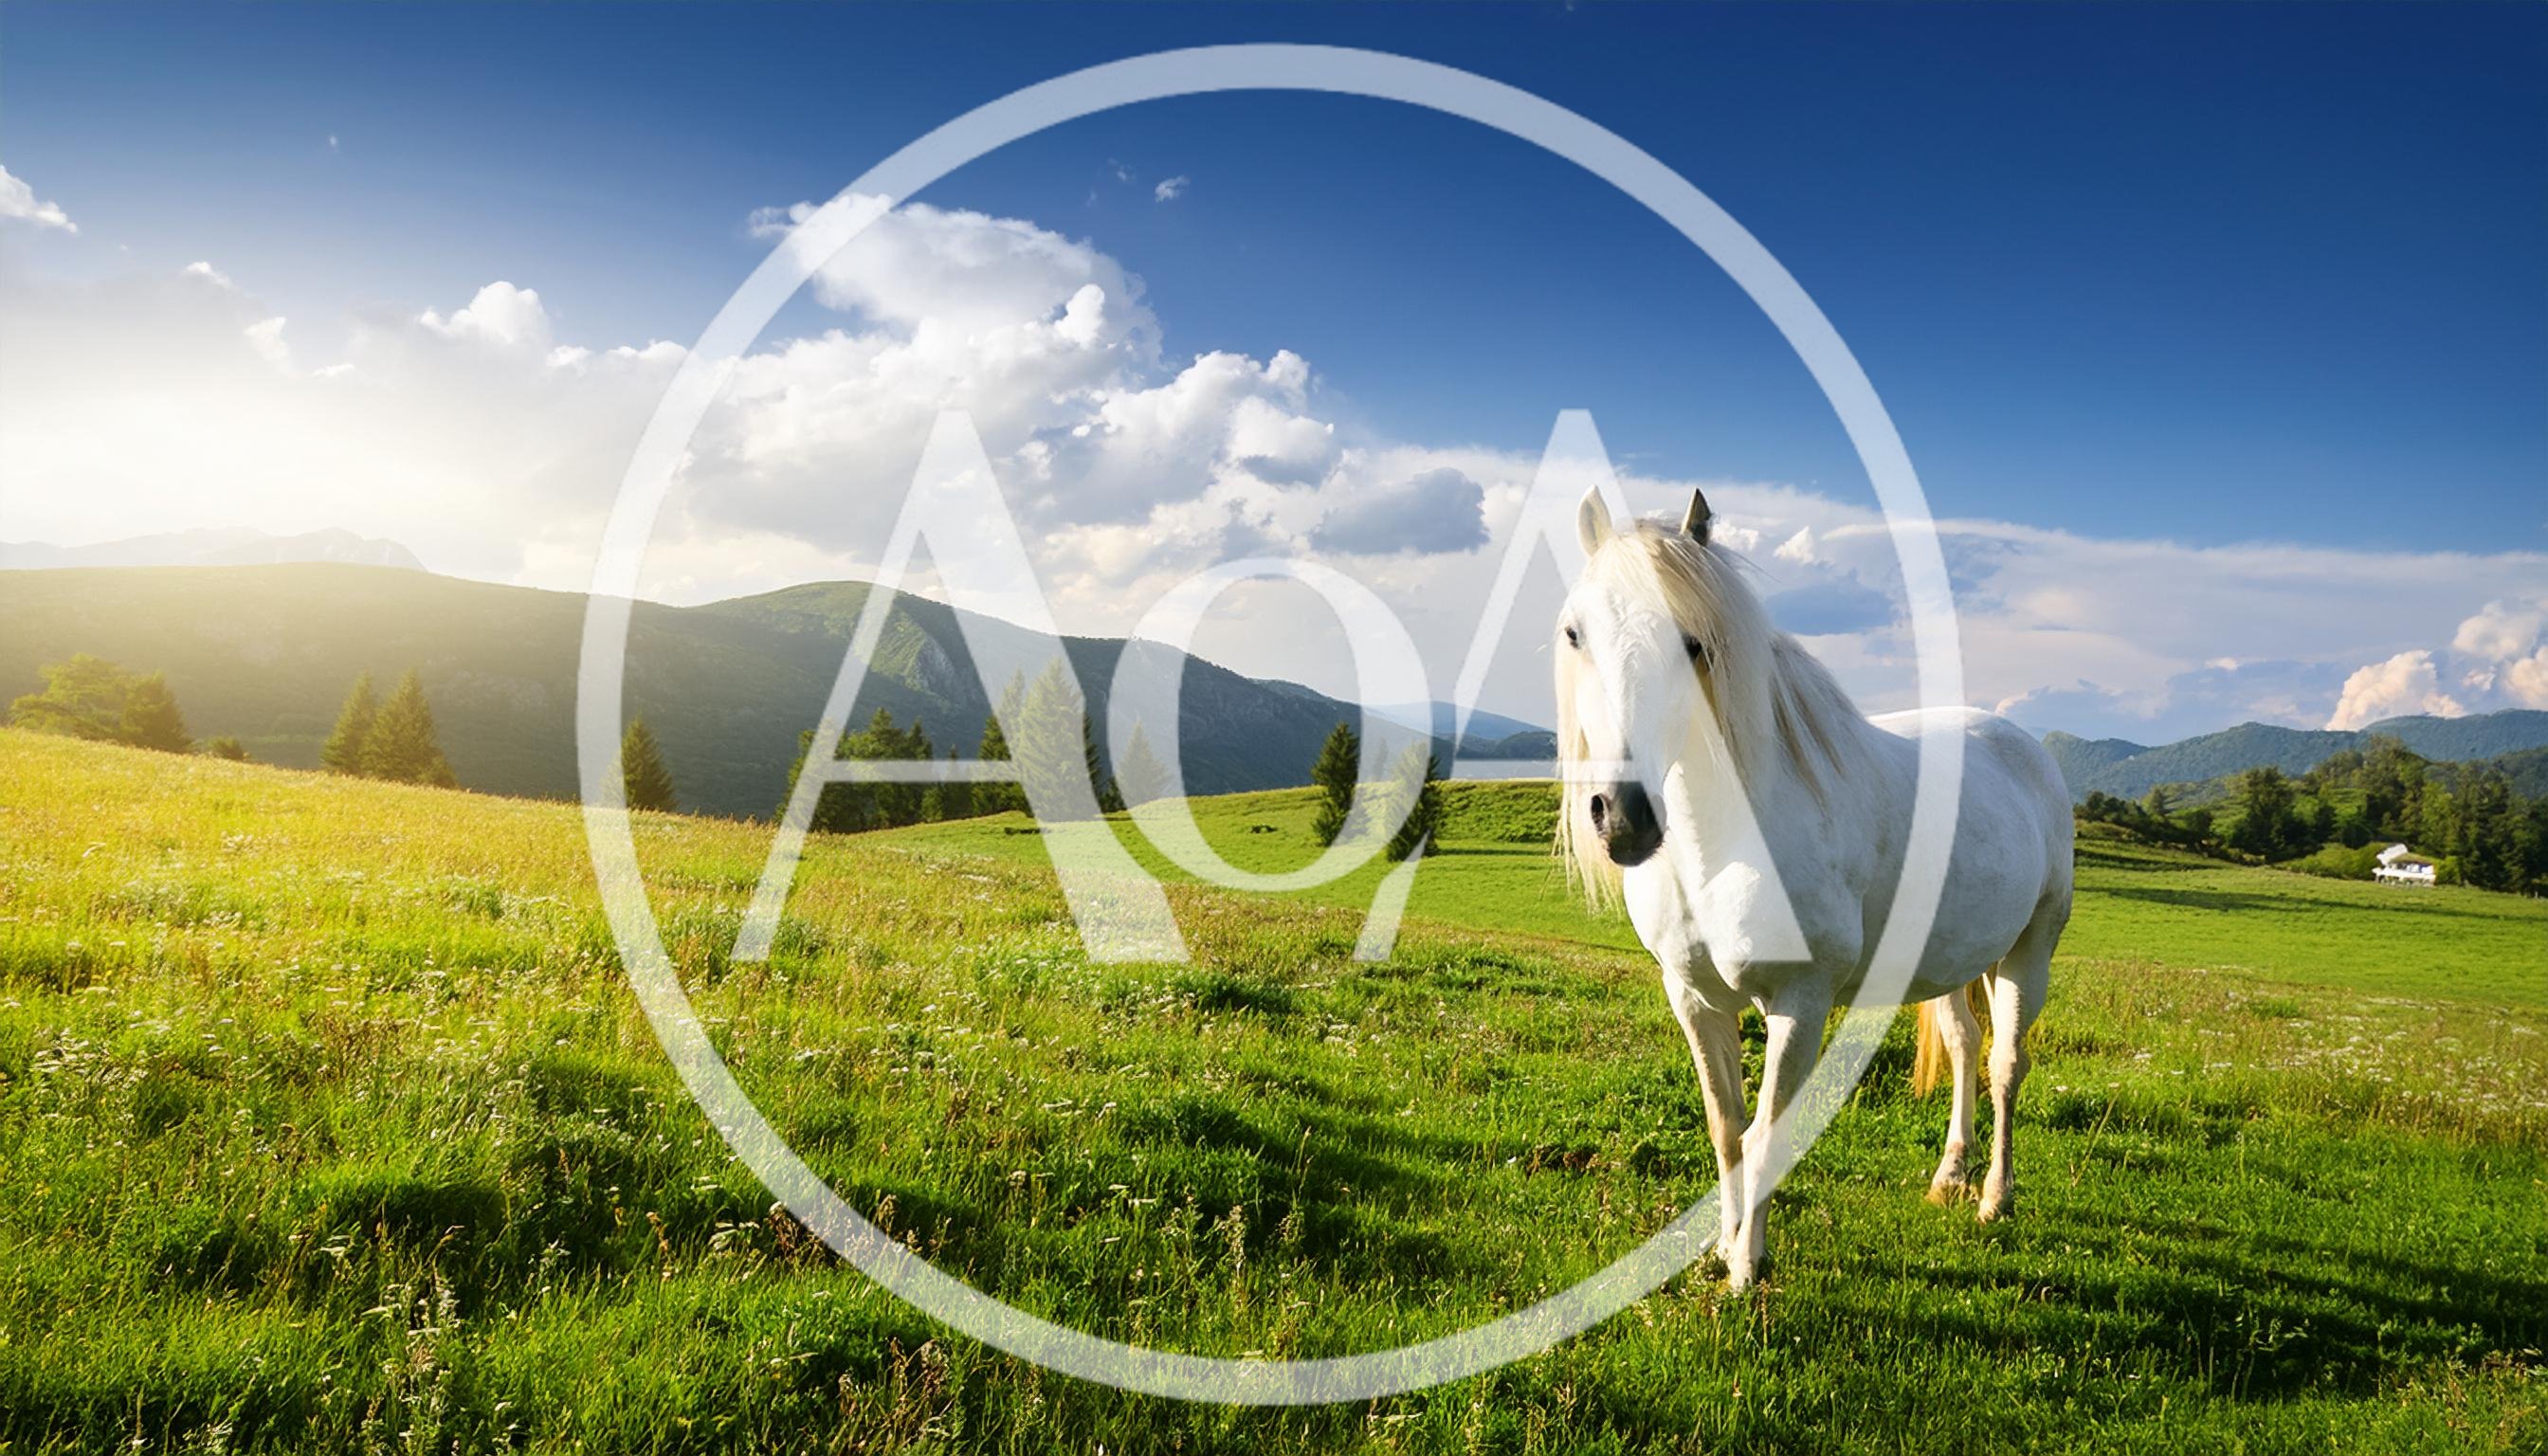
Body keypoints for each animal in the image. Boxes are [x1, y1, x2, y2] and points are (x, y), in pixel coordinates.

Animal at [1555, 487, 2074, 1290]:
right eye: (1575, 632)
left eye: (1696, 642)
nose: (1623, 815)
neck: (1724, 844)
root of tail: (2025, 748)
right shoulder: (1694, 999)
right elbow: (1727, 1129)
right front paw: (1721, 1244)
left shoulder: (1798, 1005)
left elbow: (1769, 1133)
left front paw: (1747, 1268)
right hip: (1958, 961)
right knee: (1964, 1047)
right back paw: (1949, 1177)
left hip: (2029, 952)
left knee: (2005, 1065)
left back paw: (1994, 1199)